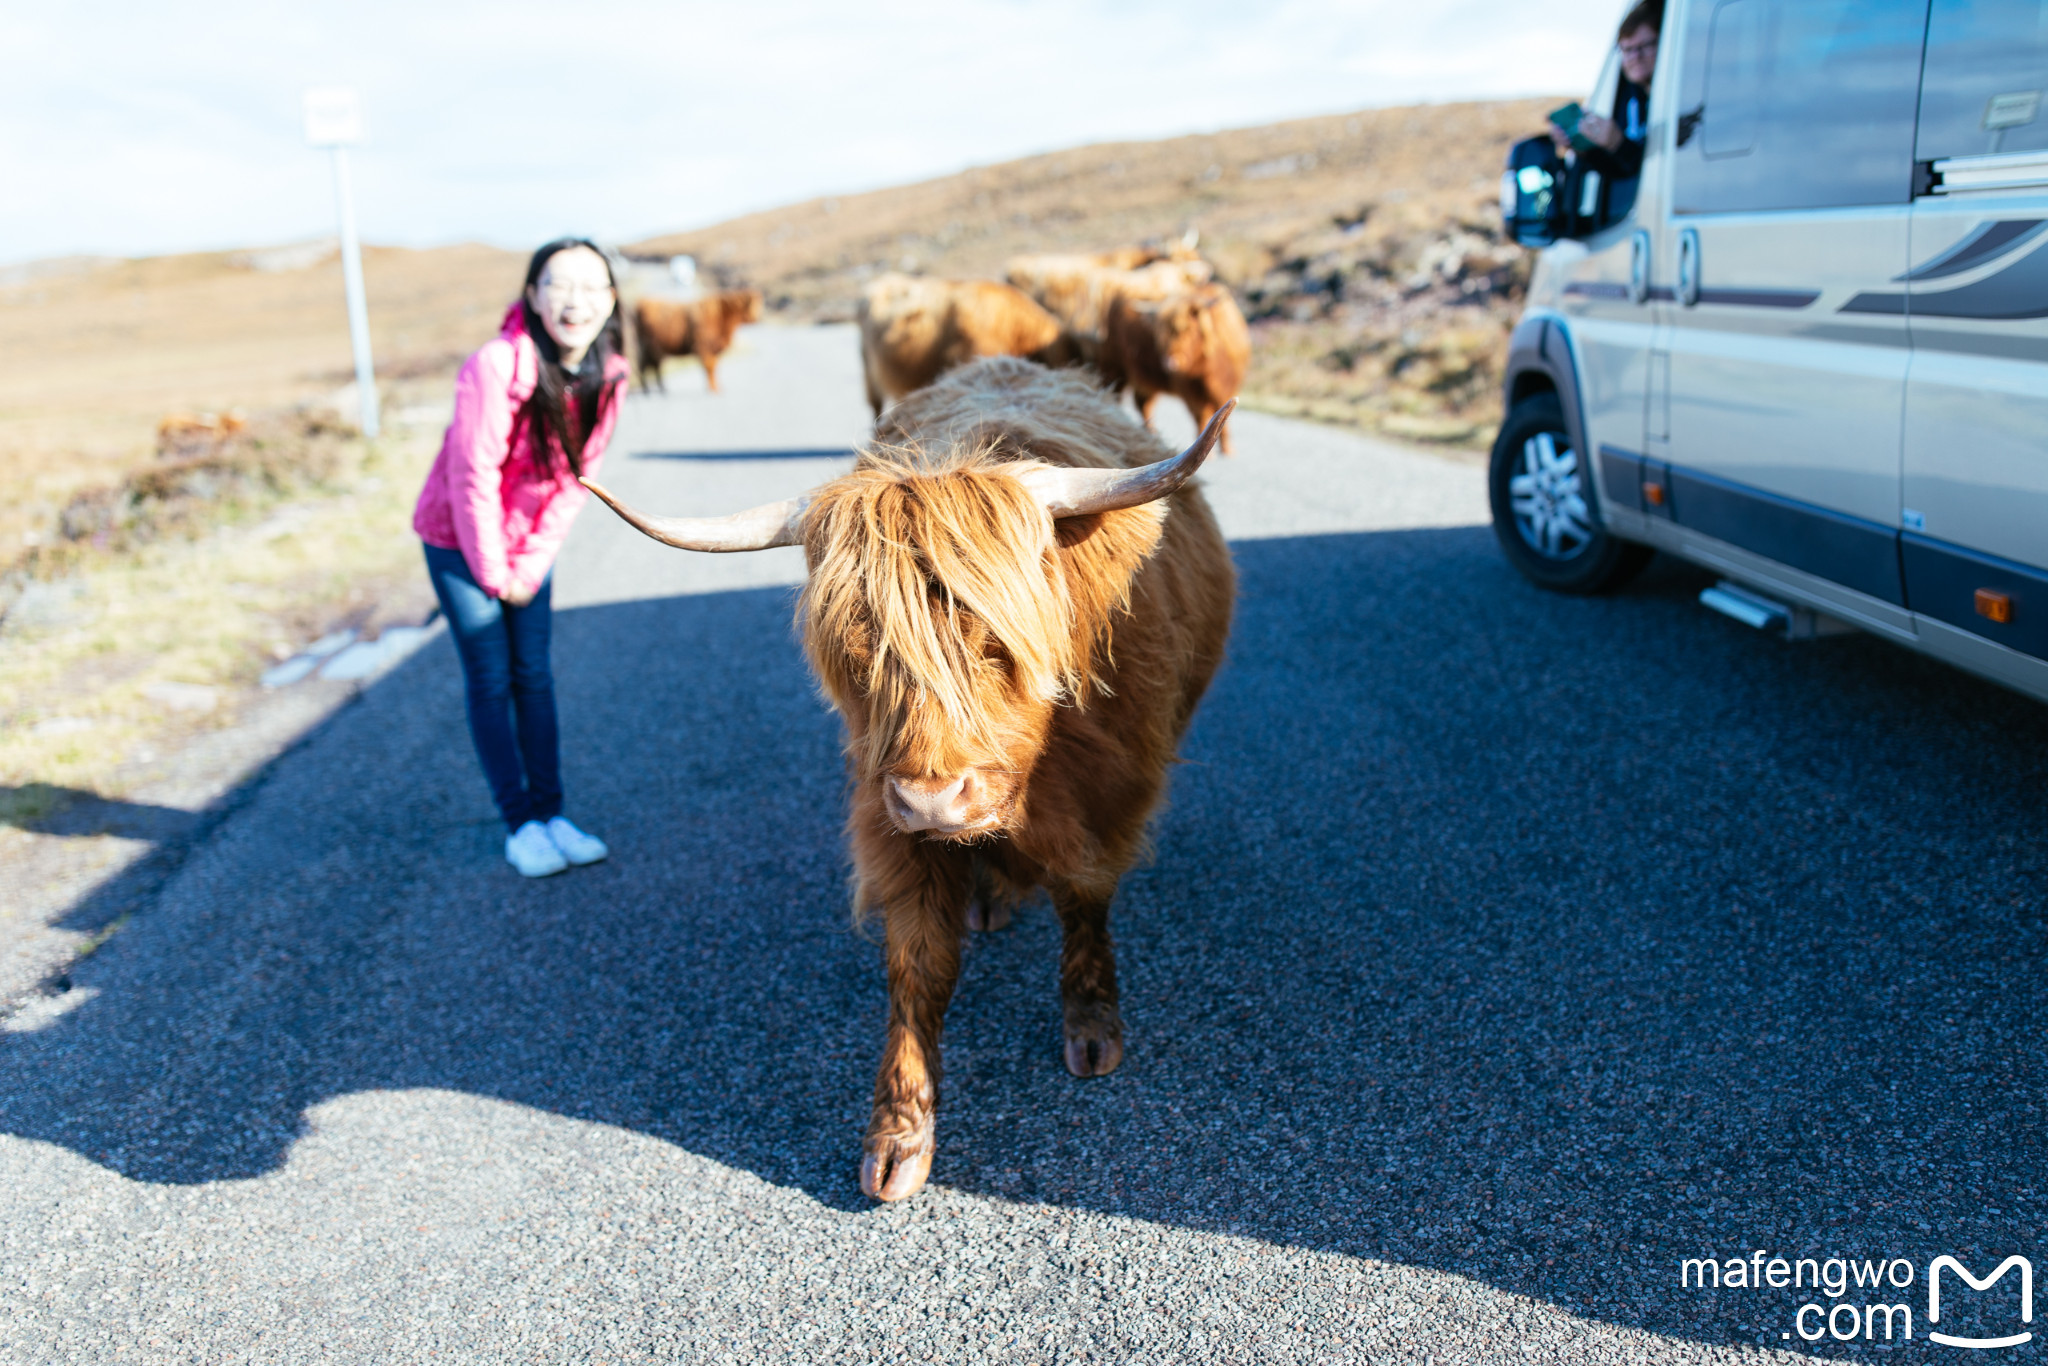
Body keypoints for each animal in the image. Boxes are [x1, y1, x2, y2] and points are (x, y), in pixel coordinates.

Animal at [585, 358, 1236, 1204]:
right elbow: (919, 967)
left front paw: (1092, 1025)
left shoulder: (1108, 794)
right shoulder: (888, 819)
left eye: (996, 643)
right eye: (857, 655)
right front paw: (897, 1136)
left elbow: (1083, 899)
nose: (932, 799)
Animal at [630, 288, 761, 393]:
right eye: (752, 304)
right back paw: (650, 390)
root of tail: (642, 302)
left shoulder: (713, 349)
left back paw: (658, 389)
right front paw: (713, 389)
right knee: (647, 365)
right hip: (649, 348)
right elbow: (710, 366)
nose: (758, 317)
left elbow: (714, 366)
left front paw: (716, 387)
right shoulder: (704, 347)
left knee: (652, 366)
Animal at [1105, 282, 1245, 454]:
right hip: (1115, 368)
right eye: (1161, 335)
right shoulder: (1188, 390)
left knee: (1142, 403)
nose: (1170, 362)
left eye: (1188, 329)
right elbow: (1201, 415)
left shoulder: (1225, 387)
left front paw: (1227, 450)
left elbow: (1220, 412)